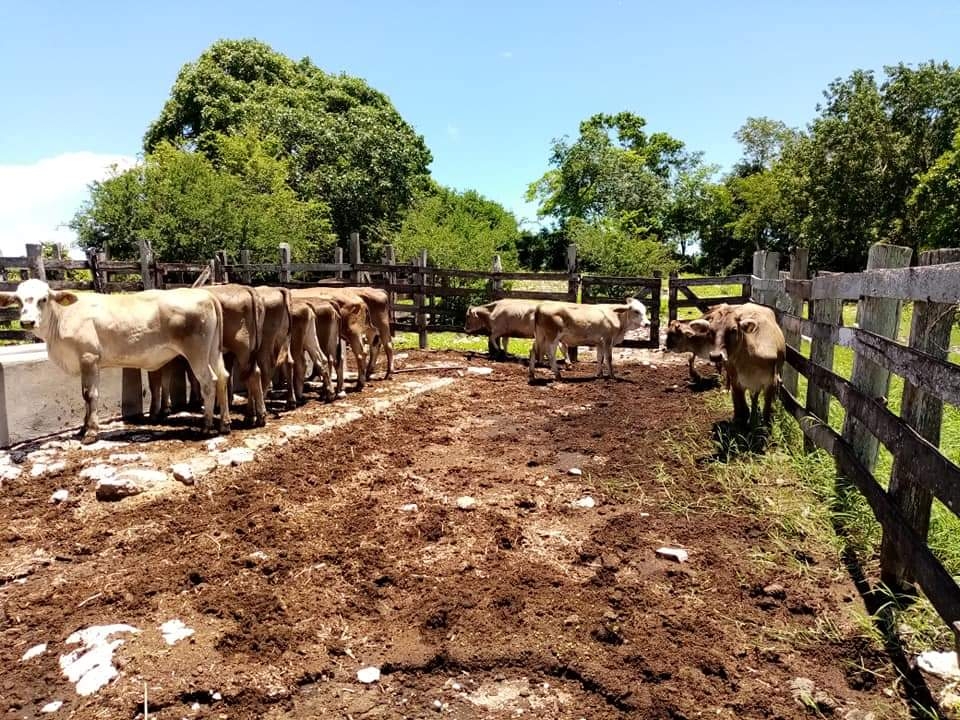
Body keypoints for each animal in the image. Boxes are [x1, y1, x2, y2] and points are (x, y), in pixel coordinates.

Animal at [0, 278, 231, 442]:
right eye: (18, 300)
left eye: (43, 299)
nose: (27, 322)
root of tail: (205, 294)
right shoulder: (89, 363)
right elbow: (86, 395)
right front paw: (83, 428)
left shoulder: (88, 357)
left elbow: (89, 395)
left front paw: (91, 432)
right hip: (212, 351)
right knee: (222, 377)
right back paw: (225, 424)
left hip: (197, 353)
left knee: (208, 382)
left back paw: (206, 426)